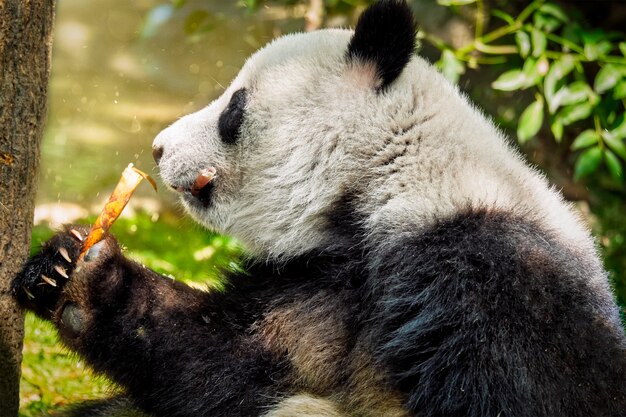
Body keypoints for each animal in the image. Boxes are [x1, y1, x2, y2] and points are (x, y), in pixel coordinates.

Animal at [12, 0, 624, 416]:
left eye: (233, 108)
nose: (160, 148)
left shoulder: (496, 282)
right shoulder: (319, 280)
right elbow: (229, 351)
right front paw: (74, 272)